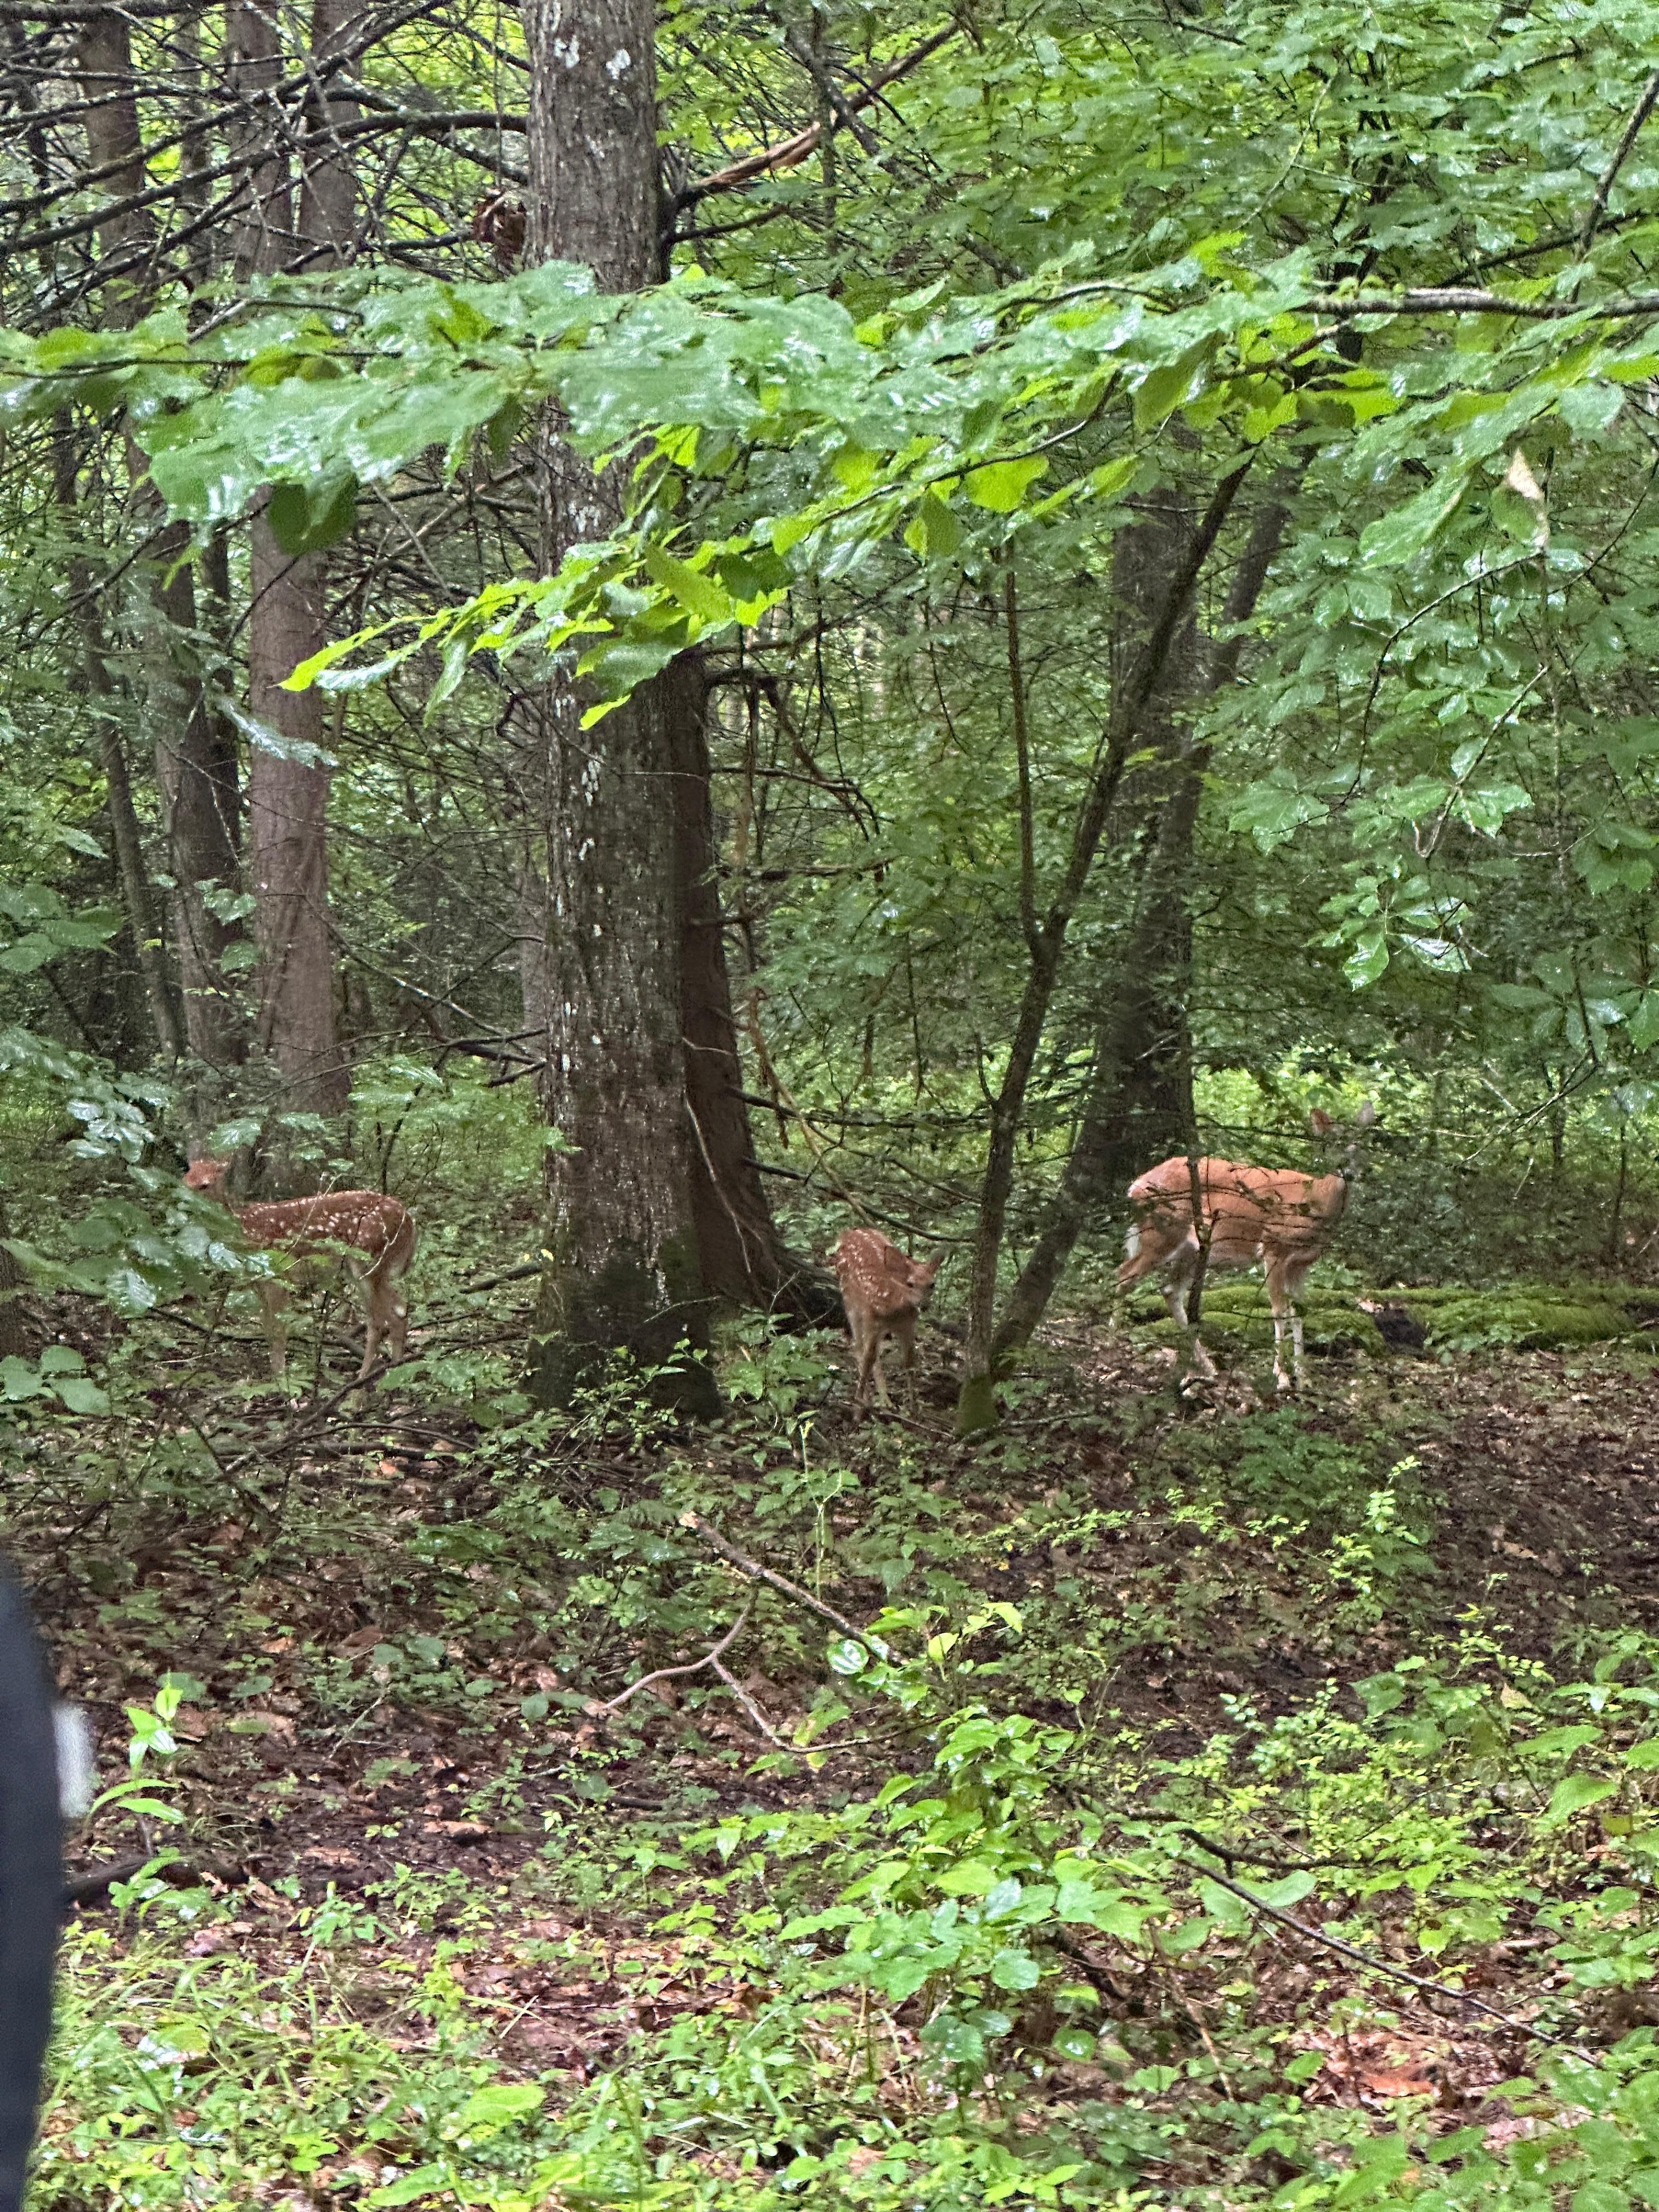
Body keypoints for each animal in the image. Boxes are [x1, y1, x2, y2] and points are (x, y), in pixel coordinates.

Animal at [182, 1157, 416, 1384]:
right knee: (398, 1309)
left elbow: (279, 1329)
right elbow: (267, 1328)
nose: (184, 1205)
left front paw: (282, 1381)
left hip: (370, 1259)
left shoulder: (279, 1274)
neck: (247, 1228)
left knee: (383, 1320)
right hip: (363, 1269)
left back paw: (370, 1379)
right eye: (185, 1181)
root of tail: (409, 1220)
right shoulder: (259, 1282)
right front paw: (274, 1378)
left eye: (205, 1185)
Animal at [828, 1228, 940, 1416]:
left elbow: (909, 1361)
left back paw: (886, 1400)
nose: (924, 1305)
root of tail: (849, 1232)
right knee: (859, 1346)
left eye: (932, 1284)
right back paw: (868, 1398)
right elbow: (868, 1358)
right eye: (910, 1284)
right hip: (851, 1301)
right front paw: (858, 1402)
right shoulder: (872, 1320)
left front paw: (914, 1408)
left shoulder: (907, 1326)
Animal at [1117, 1102, 1377, 1393]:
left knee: (1169, 1291)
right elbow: (1279, 1312)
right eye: (1333, 1142)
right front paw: (1282, 1377)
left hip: (1190, 1248)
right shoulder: (1273, 1249)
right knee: (1124, 1274)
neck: (1314, 1203)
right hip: (1160, 1233)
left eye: (1363, 1143)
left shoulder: (1302, 1263)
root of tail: (1134, 1187)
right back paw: (1112, 1337)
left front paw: (1304, 1377)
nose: (1350, 1172)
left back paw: (1206, 1366)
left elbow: (1299, 1314)